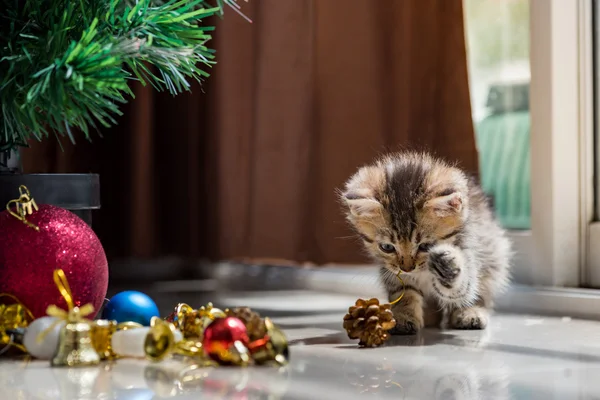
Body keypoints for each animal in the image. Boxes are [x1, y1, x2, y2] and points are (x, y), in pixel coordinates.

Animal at [340, 152, 508, 332]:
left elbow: (463, 286)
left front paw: (448, 266)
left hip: (493, 256)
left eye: (426, 246)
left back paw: (470, 313)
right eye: (387, 247)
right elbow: (404, 292)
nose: (407, 268)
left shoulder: (470, 250)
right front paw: (403, 317)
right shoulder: (392, 273)